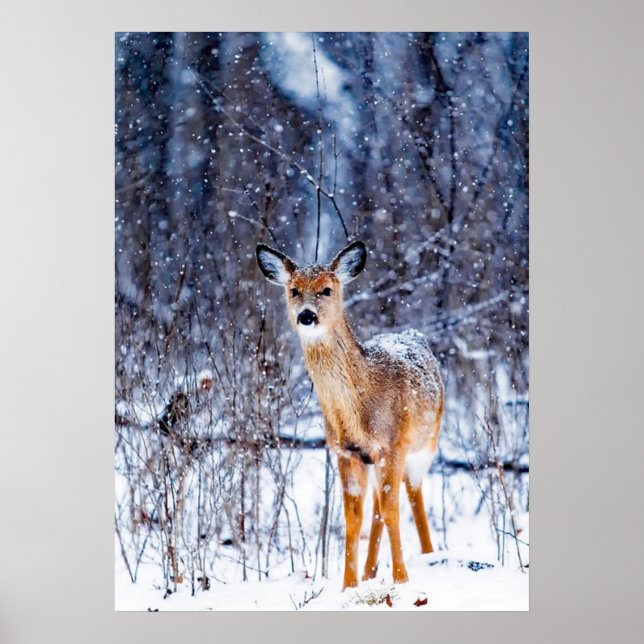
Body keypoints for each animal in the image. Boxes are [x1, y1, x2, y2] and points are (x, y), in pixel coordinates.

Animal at [256, 240, 444, 589]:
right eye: (294, 290)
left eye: (327, 289)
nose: (306, 315)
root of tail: (413, 334)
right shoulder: (346, 452)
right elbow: (353, 518)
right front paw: (349, 585)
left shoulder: (392, 444)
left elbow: (393, 510)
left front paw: (401, 579)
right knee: (378, 508)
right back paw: (370, 572)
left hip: (426, 443)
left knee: (412, 495)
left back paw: (428, 554)